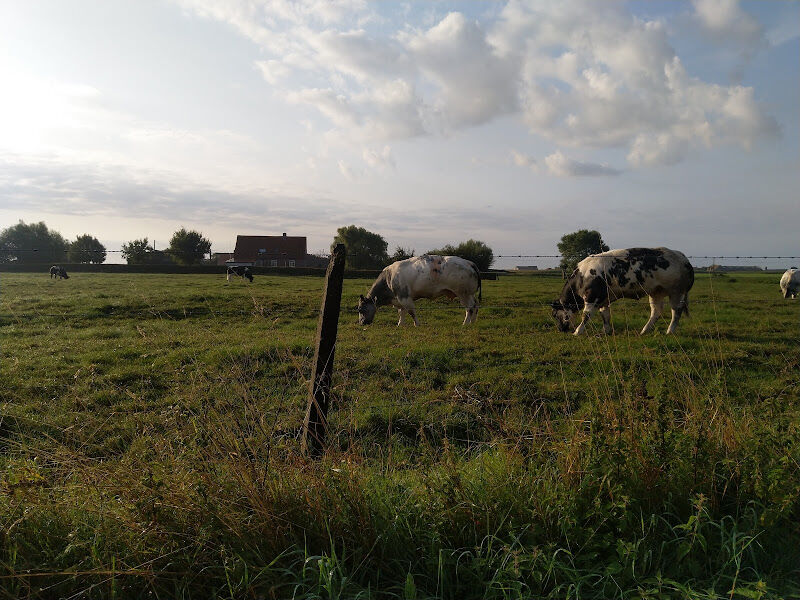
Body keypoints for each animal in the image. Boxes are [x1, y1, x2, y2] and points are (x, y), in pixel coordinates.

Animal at [552, 246, 692, 336]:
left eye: (555, 315)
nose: (560, 329)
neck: (583, 276)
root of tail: (681, 256)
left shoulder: (592, 296)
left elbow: (586, 315)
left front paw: (577, 331)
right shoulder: (604, 299)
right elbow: (605, 315)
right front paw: (606, 331)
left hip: (676, 291)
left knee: (676, 311)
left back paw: (670, 331)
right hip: (656, 292)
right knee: (656, 311)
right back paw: (644, 331)